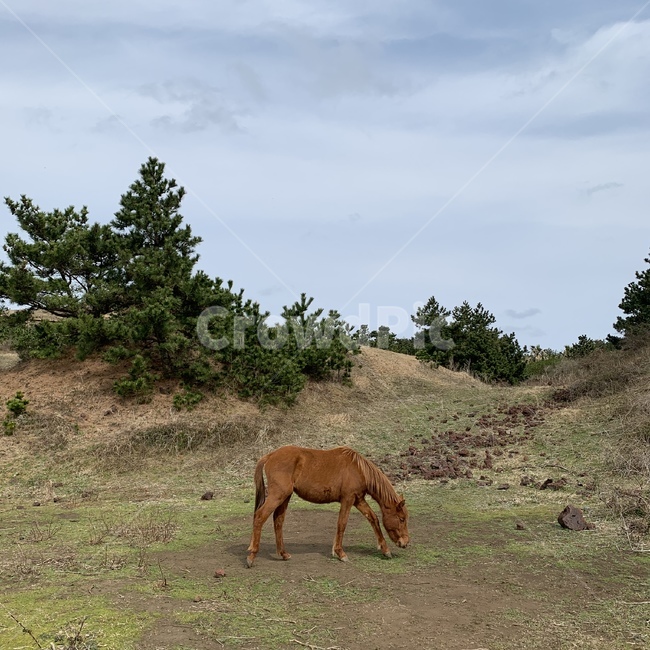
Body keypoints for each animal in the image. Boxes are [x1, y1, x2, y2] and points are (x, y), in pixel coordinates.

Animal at [246, 445, 409, 567]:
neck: (358, 469)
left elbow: (373, 518)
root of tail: (270, 456)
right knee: (260, 516)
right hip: (277, 495)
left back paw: (283, 554)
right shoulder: (348, 499)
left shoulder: (358, 500)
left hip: (285, 496)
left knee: (278, 521)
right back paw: (251, 556)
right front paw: (340, 553)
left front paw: (385, 550)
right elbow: (342, 524)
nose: (405, 543)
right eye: (401, 519)